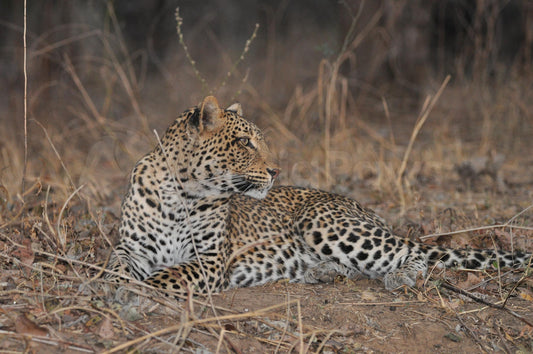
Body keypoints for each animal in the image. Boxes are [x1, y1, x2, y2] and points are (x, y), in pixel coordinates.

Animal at [106, 95, 528, 294]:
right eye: (244, 142)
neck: (180, 193)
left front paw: (140, 292)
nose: (276, 171)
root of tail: (365, 209)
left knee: (409, 252)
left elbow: (166, 277)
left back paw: (399, 276)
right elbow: (114, 267)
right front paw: (108, 286)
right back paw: (321, 271)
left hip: (325, 223)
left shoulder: (208, 260)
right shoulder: (131, 248)